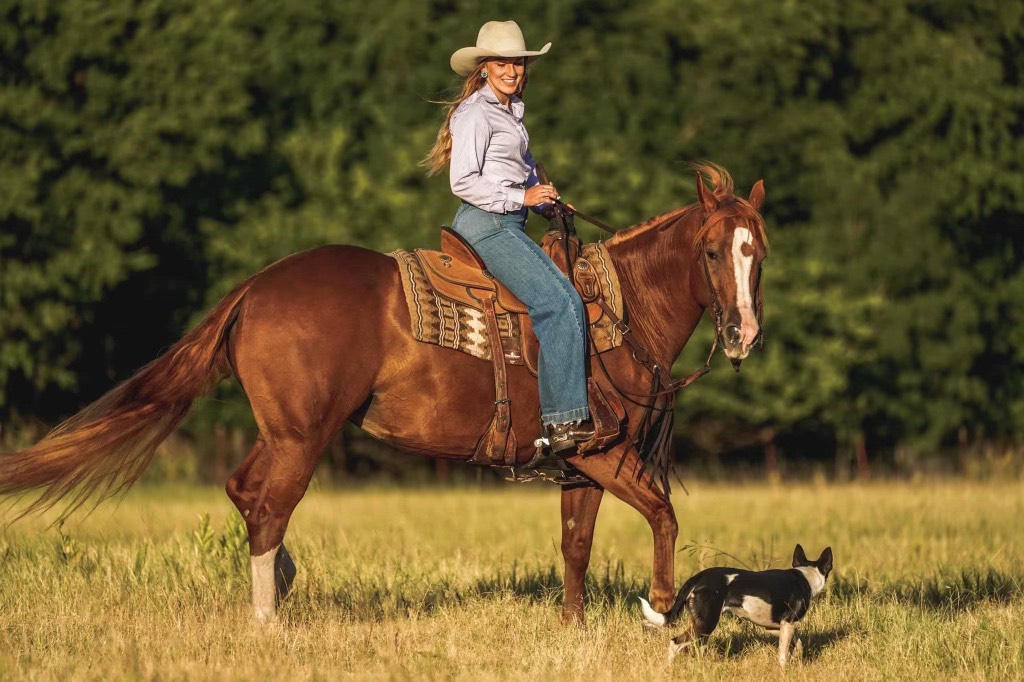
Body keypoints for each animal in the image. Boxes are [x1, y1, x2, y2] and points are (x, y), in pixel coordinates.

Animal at [0, 161, 765, 622]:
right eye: (709, 250)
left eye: (758, 252)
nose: (743, 334)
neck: (619, 312)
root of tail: (256, 287)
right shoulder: (606, 454)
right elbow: (663, 514)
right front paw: (662, 607)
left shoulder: (581, 463)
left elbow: (576, 546)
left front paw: (575, 629)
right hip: (304, 435)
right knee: (269, 505)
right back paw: (268, 621)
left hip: (283, 430)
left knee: (245, 491)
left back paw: (281, 588)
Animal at [638, 540, 831, 663]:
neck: (806, 576)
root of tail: (698, 577)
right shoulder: (789, 623)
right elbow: (783, 654)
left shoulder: (776, 626)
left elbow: (797, 642)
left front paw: (797, 656)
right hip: (707, 623)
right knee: (675, 642)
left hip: (701, 625)